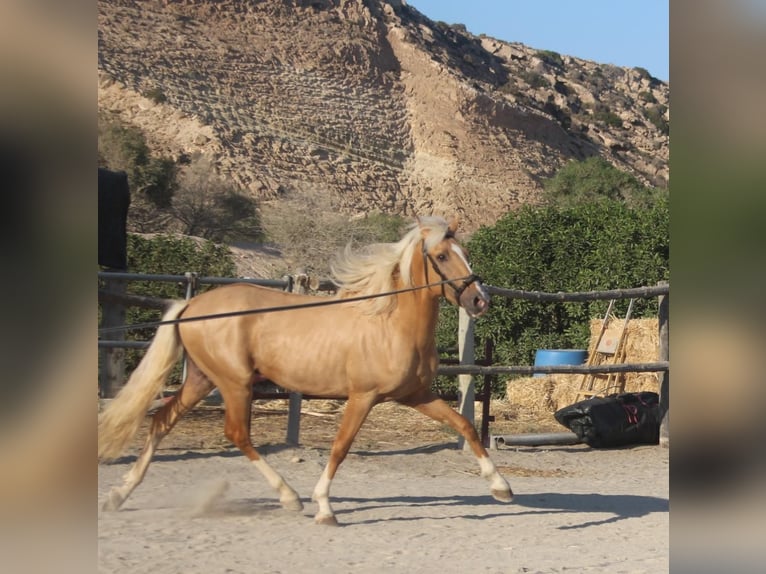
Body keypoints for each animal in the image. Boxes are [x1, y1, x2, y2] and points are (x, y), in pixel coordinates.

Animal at [97, 216, 516, 528]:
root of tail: (193, 305)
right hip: (235, 383)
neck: (389, 322)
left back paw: (119, 494)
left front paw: (501, 486)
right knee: (237, 434)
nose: (480, 300)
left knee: (161, 421)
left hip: (201, 379)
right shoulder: (362, 397)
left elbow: (464, 426)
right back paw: (289, 497)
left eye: (466, 253)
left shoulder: (414, 395)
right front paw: (324, 508)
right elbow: (340, 447)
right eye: (442, 256)